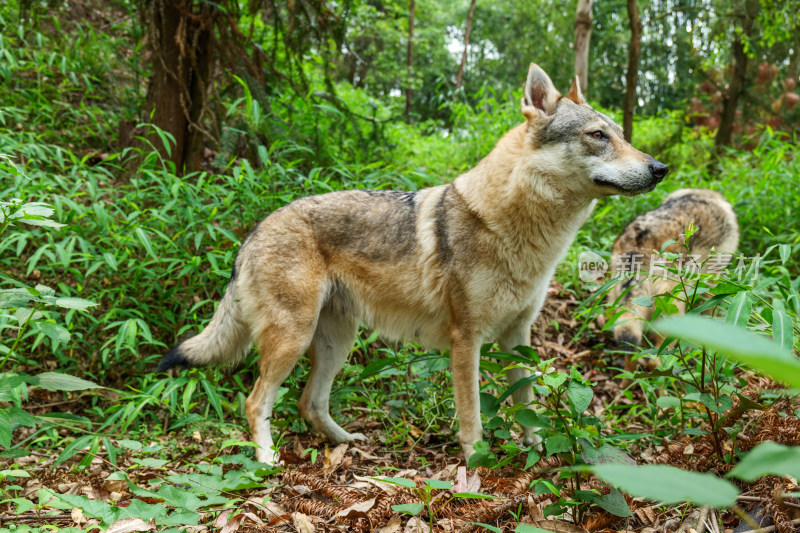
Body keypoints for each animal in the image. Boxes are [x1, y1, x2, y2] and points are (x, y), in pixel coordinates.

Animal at [156, 63, 668, 466]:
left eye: (623, 136)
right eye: (598, 136)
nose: (660, 168)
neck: (517, 229)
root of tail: (255, 231)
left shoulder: (518, 336)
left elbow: (527, 403)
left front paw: (537, 449)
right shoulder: (466, 340)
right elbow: (472, 414)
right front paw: (477, 464)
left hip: (337, 342)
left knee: (309, 403)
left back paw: (350, 444)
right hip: (294, 340)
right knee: (256, 401)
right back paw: (266, 460)